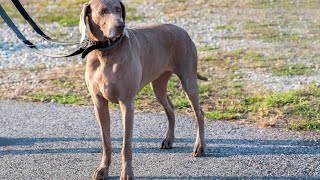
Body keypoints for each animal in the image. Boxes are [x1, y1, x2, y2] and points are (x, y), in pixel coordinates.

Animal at [79, 0, 206, 179]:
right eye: (103, 11)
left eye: (118, 9)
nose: (121, 25)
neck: (105, 52)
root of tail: (183, 31)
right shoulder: (99, 103)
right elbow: (106, 141)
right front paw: (103, 169)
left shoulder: (126, 104)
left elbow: (126, 145)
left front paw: (127, 172)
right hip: (158, 84)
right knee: (170, 109)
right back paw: (169, 140)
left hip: (188, 80)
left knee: (199, 113)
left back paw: (200, 146)